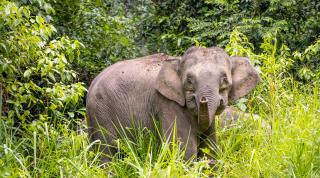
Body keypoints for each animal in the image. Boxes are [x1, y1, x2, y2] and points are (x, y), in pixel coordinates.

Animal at [85, 46, 260, 161]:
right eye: (189, 81)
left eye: (224, 80)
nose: (202, 99)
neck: (177, 60)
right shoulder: (167, 103)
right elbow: (184, 149)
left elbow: (209, 148)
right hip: (101, 112)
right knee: (107, 151)